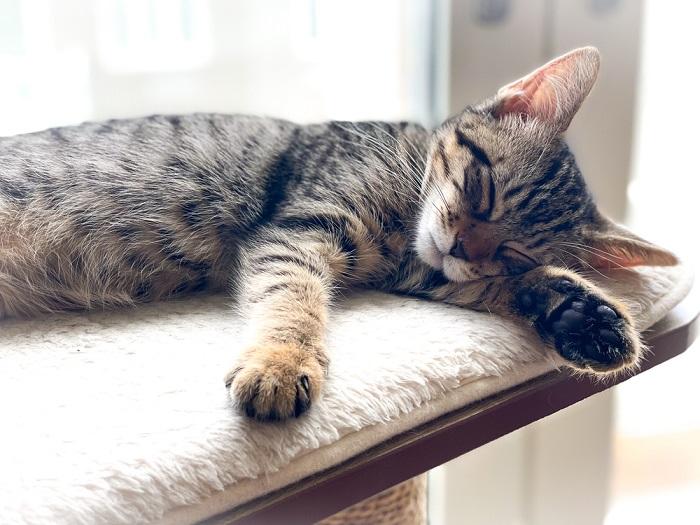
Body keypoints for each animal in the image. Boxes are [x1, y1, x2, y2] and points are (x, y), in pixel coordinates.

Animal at [0, 47, 680, 420]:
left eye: (511, 251)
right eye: (483, 186)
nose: (465, 246)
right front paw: (282, 361)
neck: (405, 214)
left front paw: (584, 315)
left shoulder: (418, 270)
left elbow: (489, 286)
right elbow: (293, 298)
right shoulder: (300, 228)